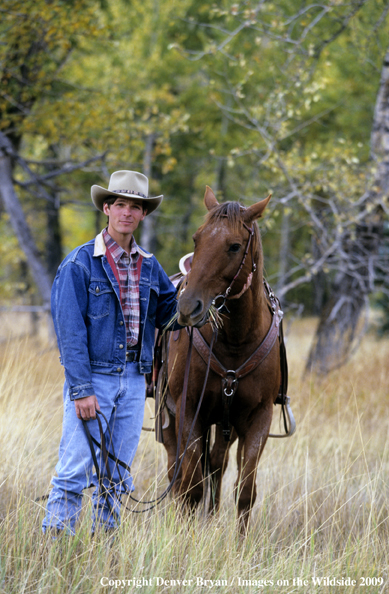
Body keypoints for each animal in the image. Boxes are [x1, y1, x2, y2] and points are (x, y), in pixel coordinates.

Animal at [161, 186, 284, 532]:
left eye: (234, 246)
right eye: (196, 238)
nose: (188, 307)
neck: (236, 340)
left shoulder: (258, 418)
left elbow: (245, 491)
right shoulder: (189, 410)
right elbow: (190, 487)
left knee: (217, 463)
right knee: (179, 471)